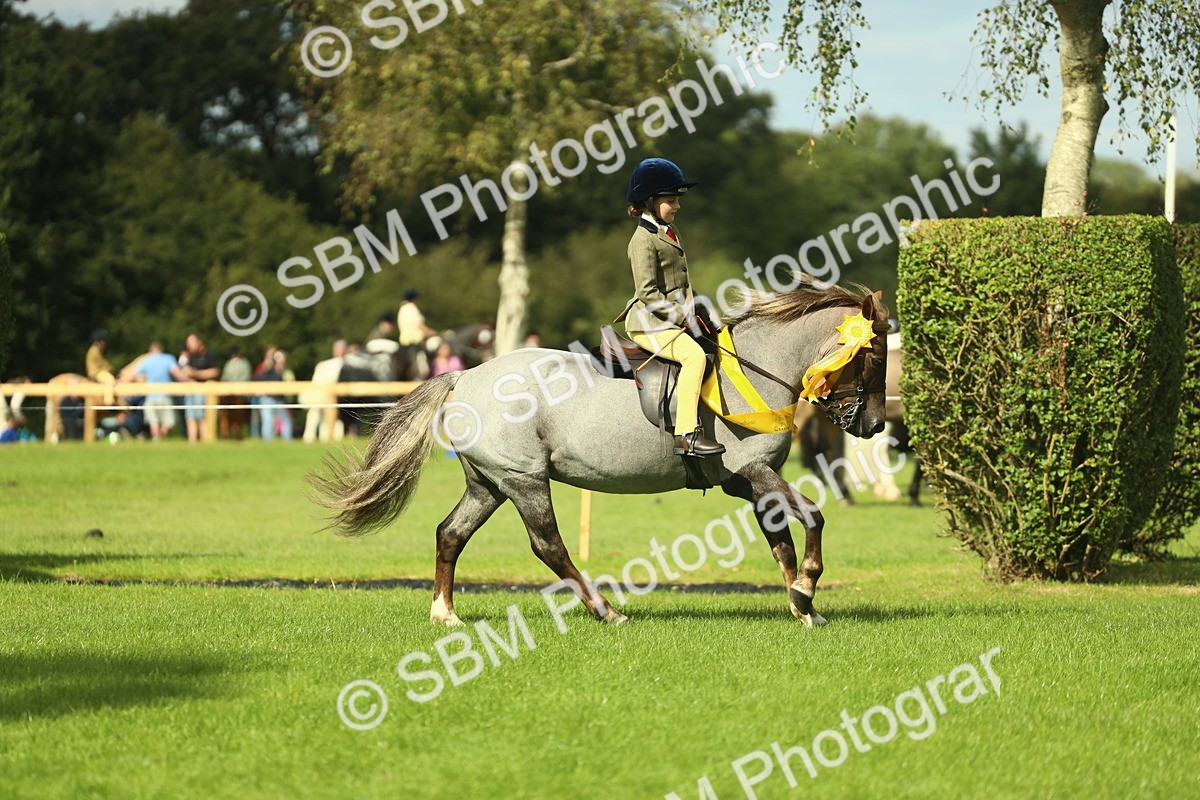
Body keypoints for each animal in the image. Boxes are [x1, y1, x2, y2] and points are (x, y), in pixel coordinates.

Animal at [309, 285, 890, 628]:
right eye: (876, 356)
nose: (874, 425)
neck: (755, 367)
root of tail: (465, 376)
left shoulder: (746, 480)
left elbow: (782, 540)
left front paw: (802, 604)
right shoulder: (754, 470)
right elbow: (810, 517)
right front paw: (807, 587)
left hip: (488, 483)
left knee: (450, 534)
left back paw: (445, 614)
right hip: (524, 481)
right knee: (548, 545)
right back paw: (604, 610)